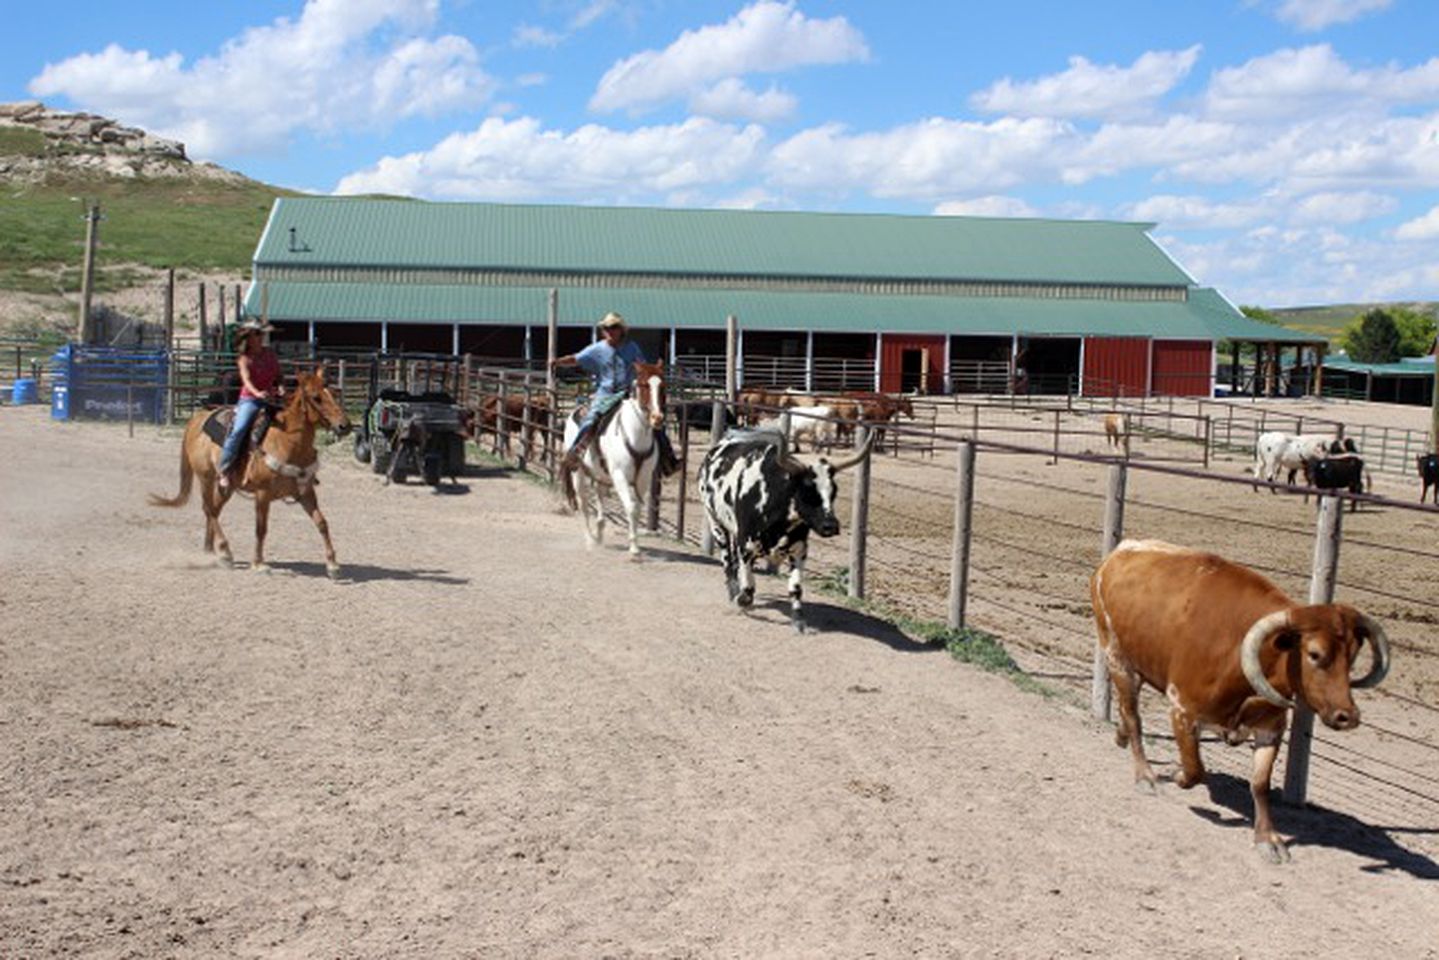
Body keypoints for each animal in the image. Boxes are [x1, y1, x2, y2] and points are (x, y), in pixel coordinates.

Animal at [149, 365, 353, 578]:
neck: (288, 443)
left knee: (214, 510)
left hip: (226, 485)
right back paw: (225, 552)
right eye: (316, 397)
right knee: (209, 509)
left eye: (334, 393)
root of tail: (196, 420)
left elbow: (322, 523)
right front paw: (258, 563)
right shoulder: (263, 493)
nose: (345, 425)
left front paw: (333, 565)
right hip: (205, 477)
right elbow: (261, 528)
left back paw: (210, 551)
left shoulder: (305, 492)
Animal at [564, 358, 670, 555]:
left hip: (602, 476)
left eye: (663, 386)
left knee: (599, 497)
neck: (635, 436)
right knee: (583, 505)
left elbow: (637, 508)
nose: (657, 418)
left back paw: (599, 534)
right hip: (578, 473)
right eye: (643, 385)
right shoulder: (620, 476)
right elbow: (631, 507)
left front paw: (635, 545)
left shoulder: (643, 479)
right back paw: (590, 540)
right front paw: (634, 549)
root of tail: (577, 410)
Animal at [699, 428, 874, 630]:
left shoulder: (799, 550)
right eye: (807, 492)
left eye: (834, 492)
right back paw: (733, 592)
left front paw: (798, 619)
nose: (831, 526)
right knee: (728, 561)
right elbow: (748, 586)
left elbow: (796, 588)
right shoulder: (746, 546)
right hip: (716, 523)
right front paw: (742, 599)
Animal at [1093, 541, 1387, 863]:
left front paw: (1267, 838)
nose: (1348, 716)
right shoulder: (1182, 710)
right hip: (1117, 659)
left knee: (1128, 712)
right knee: (1132, 715)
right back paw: (1145, 775)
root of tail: (1119, 552)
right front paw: (1178, 774)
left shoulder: (1271, 728)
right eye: (1314, 654)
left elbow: (1259, 784)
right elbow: (1195, 769)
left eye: (1354, 654)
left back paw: (1121, 737)